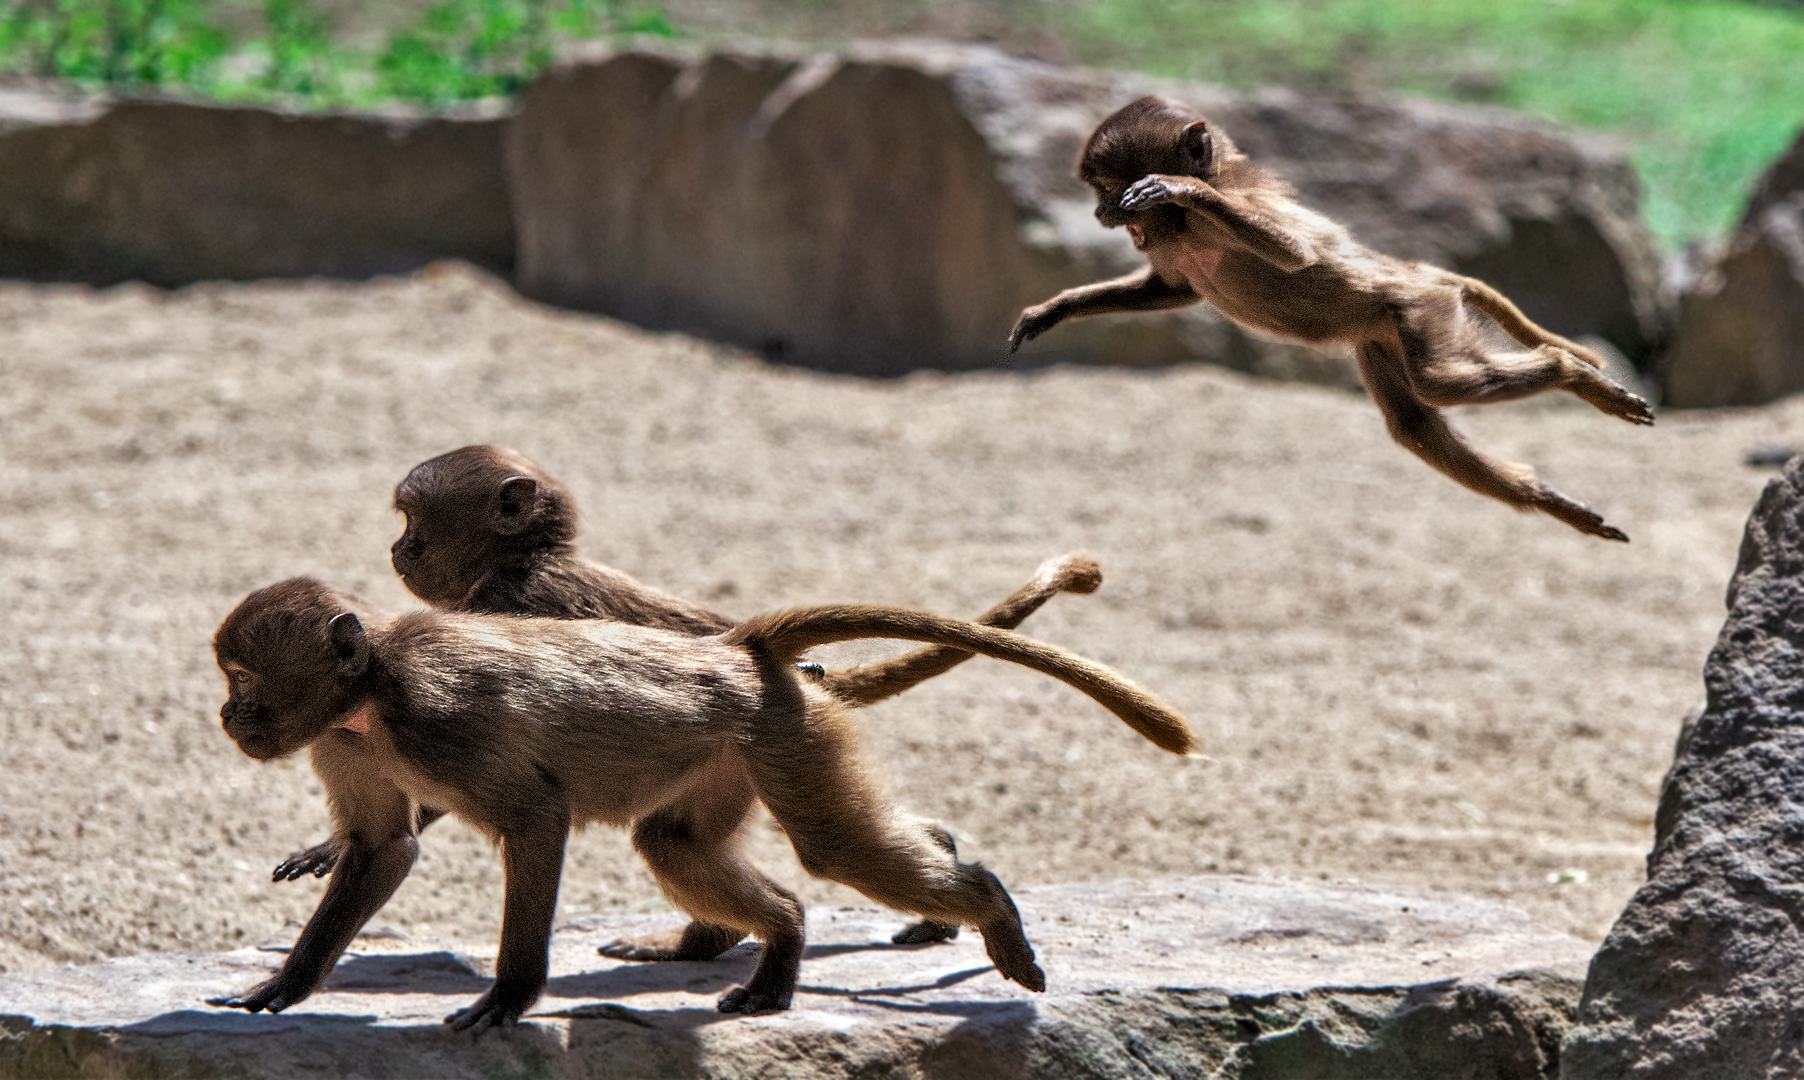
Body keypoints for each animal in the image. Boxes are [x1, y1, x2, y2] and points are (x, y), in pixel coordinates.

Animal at [211, 584, 1190, 1031]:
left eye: (243, 677)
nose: (227, 716)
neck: (373, 691)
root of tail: (735, 652)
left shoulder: (439, 721)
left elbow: (535, 819)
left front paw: (510, 998)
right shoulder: (341, 739)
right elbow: (383, 849)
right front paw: (285, 987)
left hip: (781, 734)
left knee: (830, 847)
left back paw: (986, 905)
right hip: (734, 749)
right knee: (676, 842)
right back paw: (783, 938)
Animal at [1010, 97, 1652, 544]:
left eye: (1109, 190)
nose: (1101, 214)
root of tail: (1418, 272)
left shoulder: (1238, 210)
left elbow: (1295, 252)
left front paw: (1180, 186)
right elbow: (1173, 291)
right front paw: (1052, 310)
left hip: (1419, 308)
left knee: (1442, 382)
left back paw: (1569, 372)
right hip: (1384, 336)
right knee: (1415, 423)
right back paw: (1549, 498)